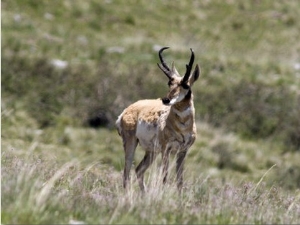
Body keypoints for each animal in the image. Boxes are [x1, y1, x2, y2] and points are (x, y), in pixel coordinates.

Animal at [115, 47, 199, 192]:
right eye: (169, 83)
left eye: (186, 85)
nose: (166, 99)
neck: (182, 127)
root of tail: (126, 111)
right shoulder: (166, 150)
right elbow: (165, 177)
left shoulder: (183, 151)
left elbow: (180, 180)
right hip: (131, 143)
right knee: (127, 172)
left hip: (151, 151)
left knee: (139, 170)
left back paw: (144, 194)